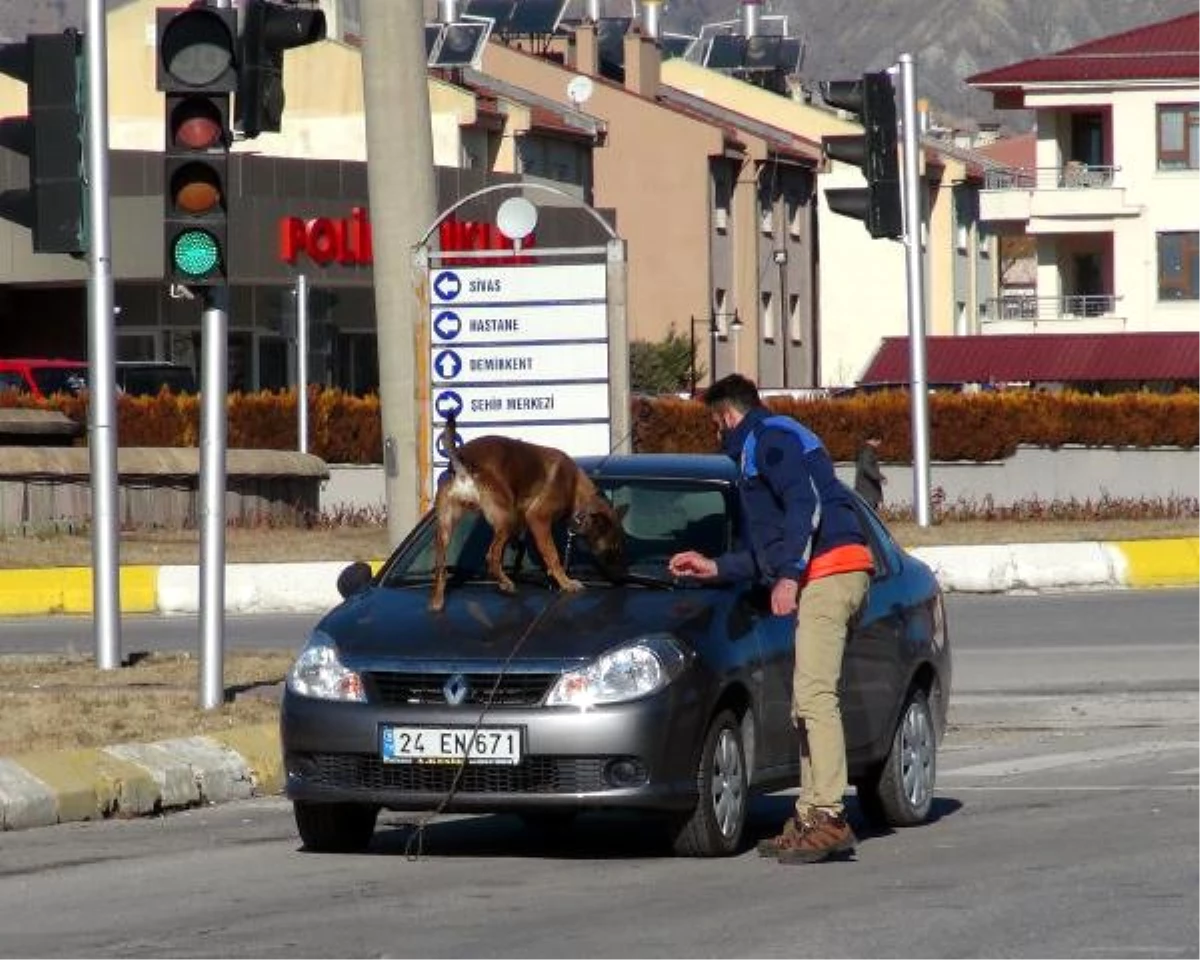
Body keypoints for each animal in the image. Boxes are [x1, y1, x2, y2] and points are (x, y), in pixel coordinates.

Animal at [427, 415, 628, 612]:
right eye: (614, 549)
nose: (623, 579)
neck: (575, 489)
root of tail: (463, 466)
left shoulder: (524, 524)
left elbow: (529, 549)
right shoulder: (538, 519)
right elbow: (553, 555)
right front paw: (565, 582)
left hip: (445, 528)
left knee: (440, 566)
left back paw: (437, 602)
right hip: (505, 519)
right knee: (492, 556)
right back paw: (506, 583)